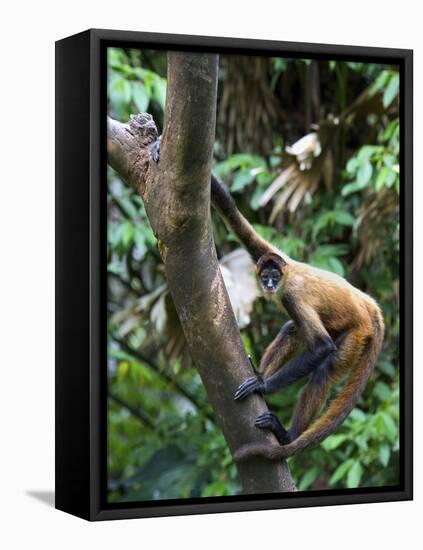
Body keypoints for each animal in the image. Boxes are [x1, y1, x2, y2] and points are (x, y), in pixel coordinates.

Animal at [151, 137, 386, 462]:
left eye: (274, 277)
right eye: (265, 277)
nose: (270, 284)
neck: (288, 275)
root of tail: (369, 306)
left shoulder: (292, 293)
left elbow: (322, 347)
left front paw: (263, 385)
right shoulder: (270, 255)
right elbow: (235, 217)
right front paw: (158, 147)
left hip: (357, 333)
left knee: (324, 366)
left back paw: (286, 433)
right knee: (292, 329)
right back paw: (260, 373)